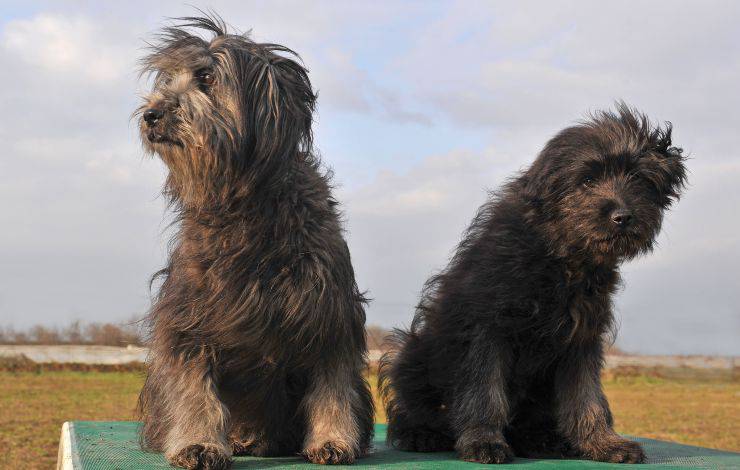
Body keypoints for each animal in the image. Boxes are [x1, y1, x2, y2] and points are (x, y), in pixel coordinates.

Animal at [136, 15, 372, 470]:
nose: (151, 114)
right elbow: (194, 389)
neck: (245, 203)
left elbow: (332, 386)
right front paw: (198, 443)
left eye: (207, 78)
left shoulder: (329, 310)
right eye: (168, 79)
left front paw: (333, 439)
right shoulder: (189, 315)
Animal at [382, 104, 688, 464]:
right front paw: (484, 440)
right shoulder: (487, 328)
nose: (622, 217)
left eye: (639, 178)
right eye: (587, 179)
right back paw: (421, 434)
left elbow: (587, 397)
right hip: (411, 354)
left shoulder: (581, 338)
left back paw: (541, 439)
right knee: (412, 408)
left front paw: (603, 442)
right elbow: (484, 392)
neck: (559, 255)